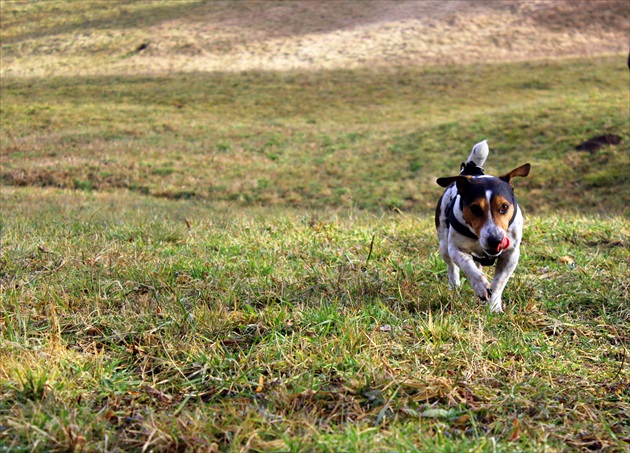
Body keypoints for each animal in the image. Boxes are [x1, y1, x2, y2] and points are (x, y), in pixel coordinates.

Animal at [434, 141, 532, 310]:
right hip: (444, 246)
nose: (495, 240)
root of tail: (470, 170)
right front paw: (480, 286)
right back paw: (455, 287)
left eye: (504, 207)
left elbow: (499, 282)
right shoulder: (456, 249)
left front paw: (494, 307)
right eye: (475, 208)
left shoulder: (511, 254)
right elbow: (467, 266)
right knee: (452, 267)